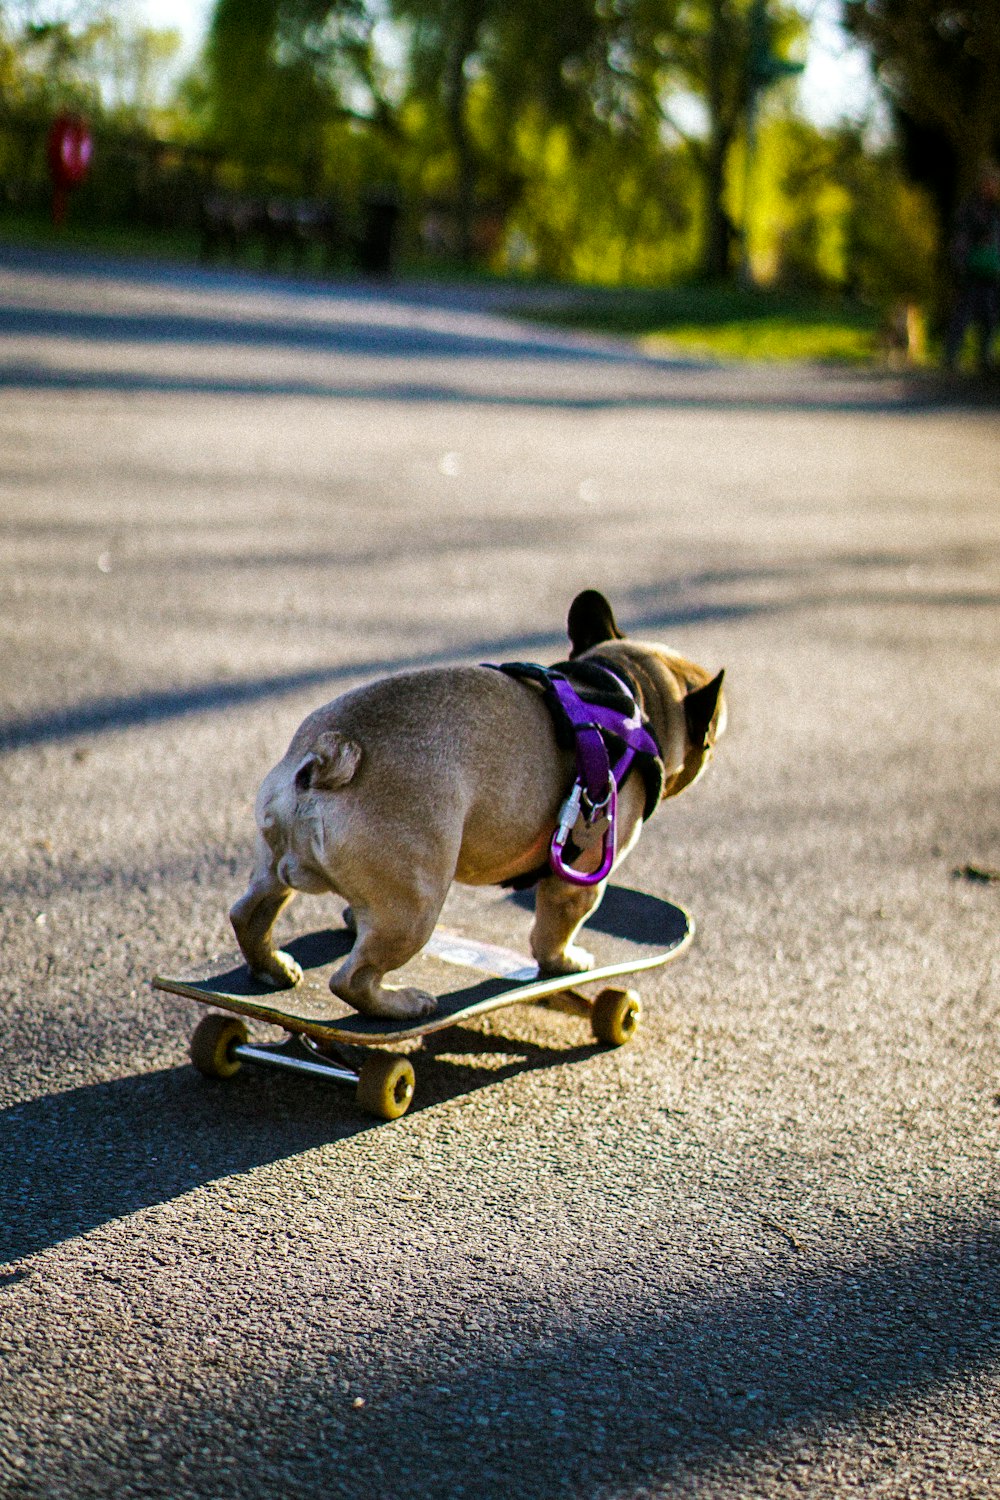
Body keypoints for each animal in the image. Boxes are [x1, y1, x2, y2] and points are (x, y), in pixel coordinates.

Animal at [230, 591, 722, 1026]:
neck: (626, 691)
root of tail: (330, 754)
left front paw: (350, 920)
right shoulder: (582, 872)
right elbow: (556, 928)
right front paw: (565, 962)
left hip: (277, 866)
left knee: (249, 914)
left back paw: (274, 967)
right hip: (416, 905)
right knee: (351, 980)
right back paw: (401, 1003)